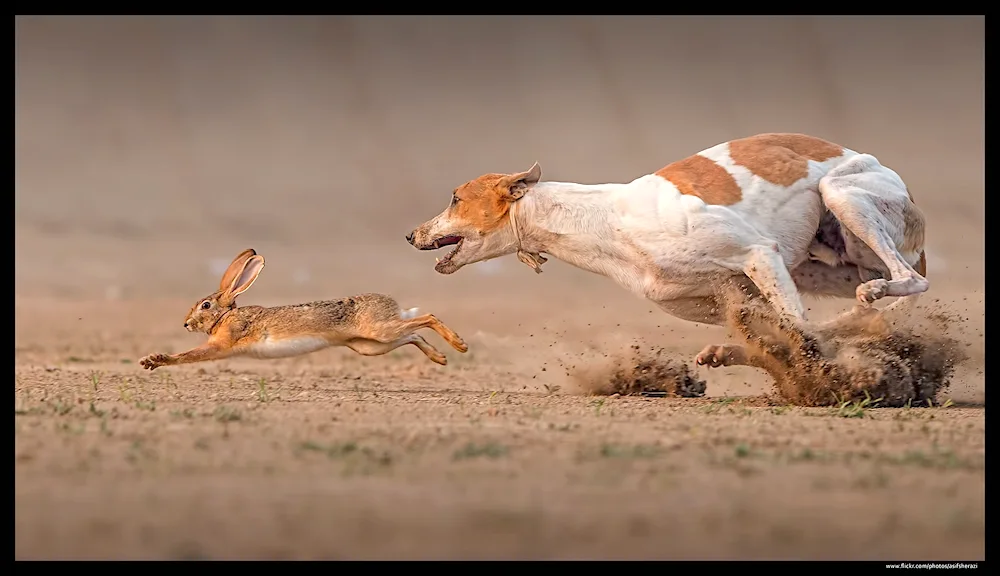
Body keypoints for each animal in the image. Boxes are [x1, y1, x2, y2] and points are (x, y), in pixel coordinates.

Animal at [402, 133, 924, 368]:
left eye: (455, 198)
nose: (411, 235)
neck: (606, 219)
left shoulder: (759, 253)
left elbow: (797, 329)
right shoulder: (731, 294)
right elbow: (785, 332)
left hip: (844, 197)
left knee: (911, 280)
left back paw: (881, 291)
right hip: (822, 267)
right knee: (859, 312)